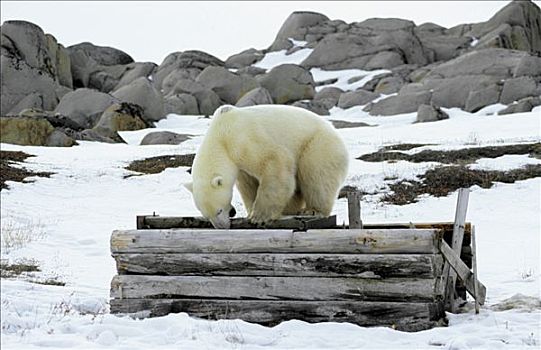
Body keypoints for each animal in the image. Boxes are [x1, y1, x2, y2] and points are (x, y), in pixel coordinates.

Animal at [184, 104, 348, 230]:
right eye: (206, 216)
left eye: (218, 211)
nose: (222, 226)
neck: (219, 135)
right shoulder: (239, 163)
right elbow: (248, 183)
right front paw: (251, 211)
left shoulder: (242, 140)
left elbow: (274, 161)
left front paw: (259, 216)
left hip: (317, 145)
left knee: (316, 175)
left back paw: (313, 210)